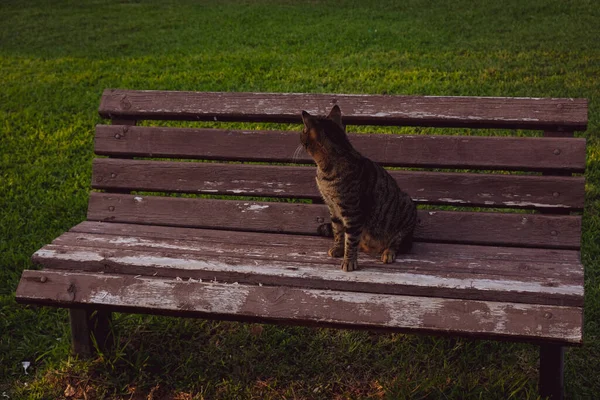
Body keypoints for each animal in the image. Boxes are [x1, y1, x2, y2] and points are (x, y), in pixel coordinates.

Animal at [300, 104, 418, 272]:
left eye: (303, 131)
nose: (299, 134)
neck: (325, 170)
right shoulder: (333, 207)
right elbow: (338, 231)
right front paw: (338, 248)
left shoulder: (352, 212)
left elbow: (350, 240)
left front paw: (349, 261)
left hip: (406, 210)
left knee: (398, 242)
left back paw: (388, 252)